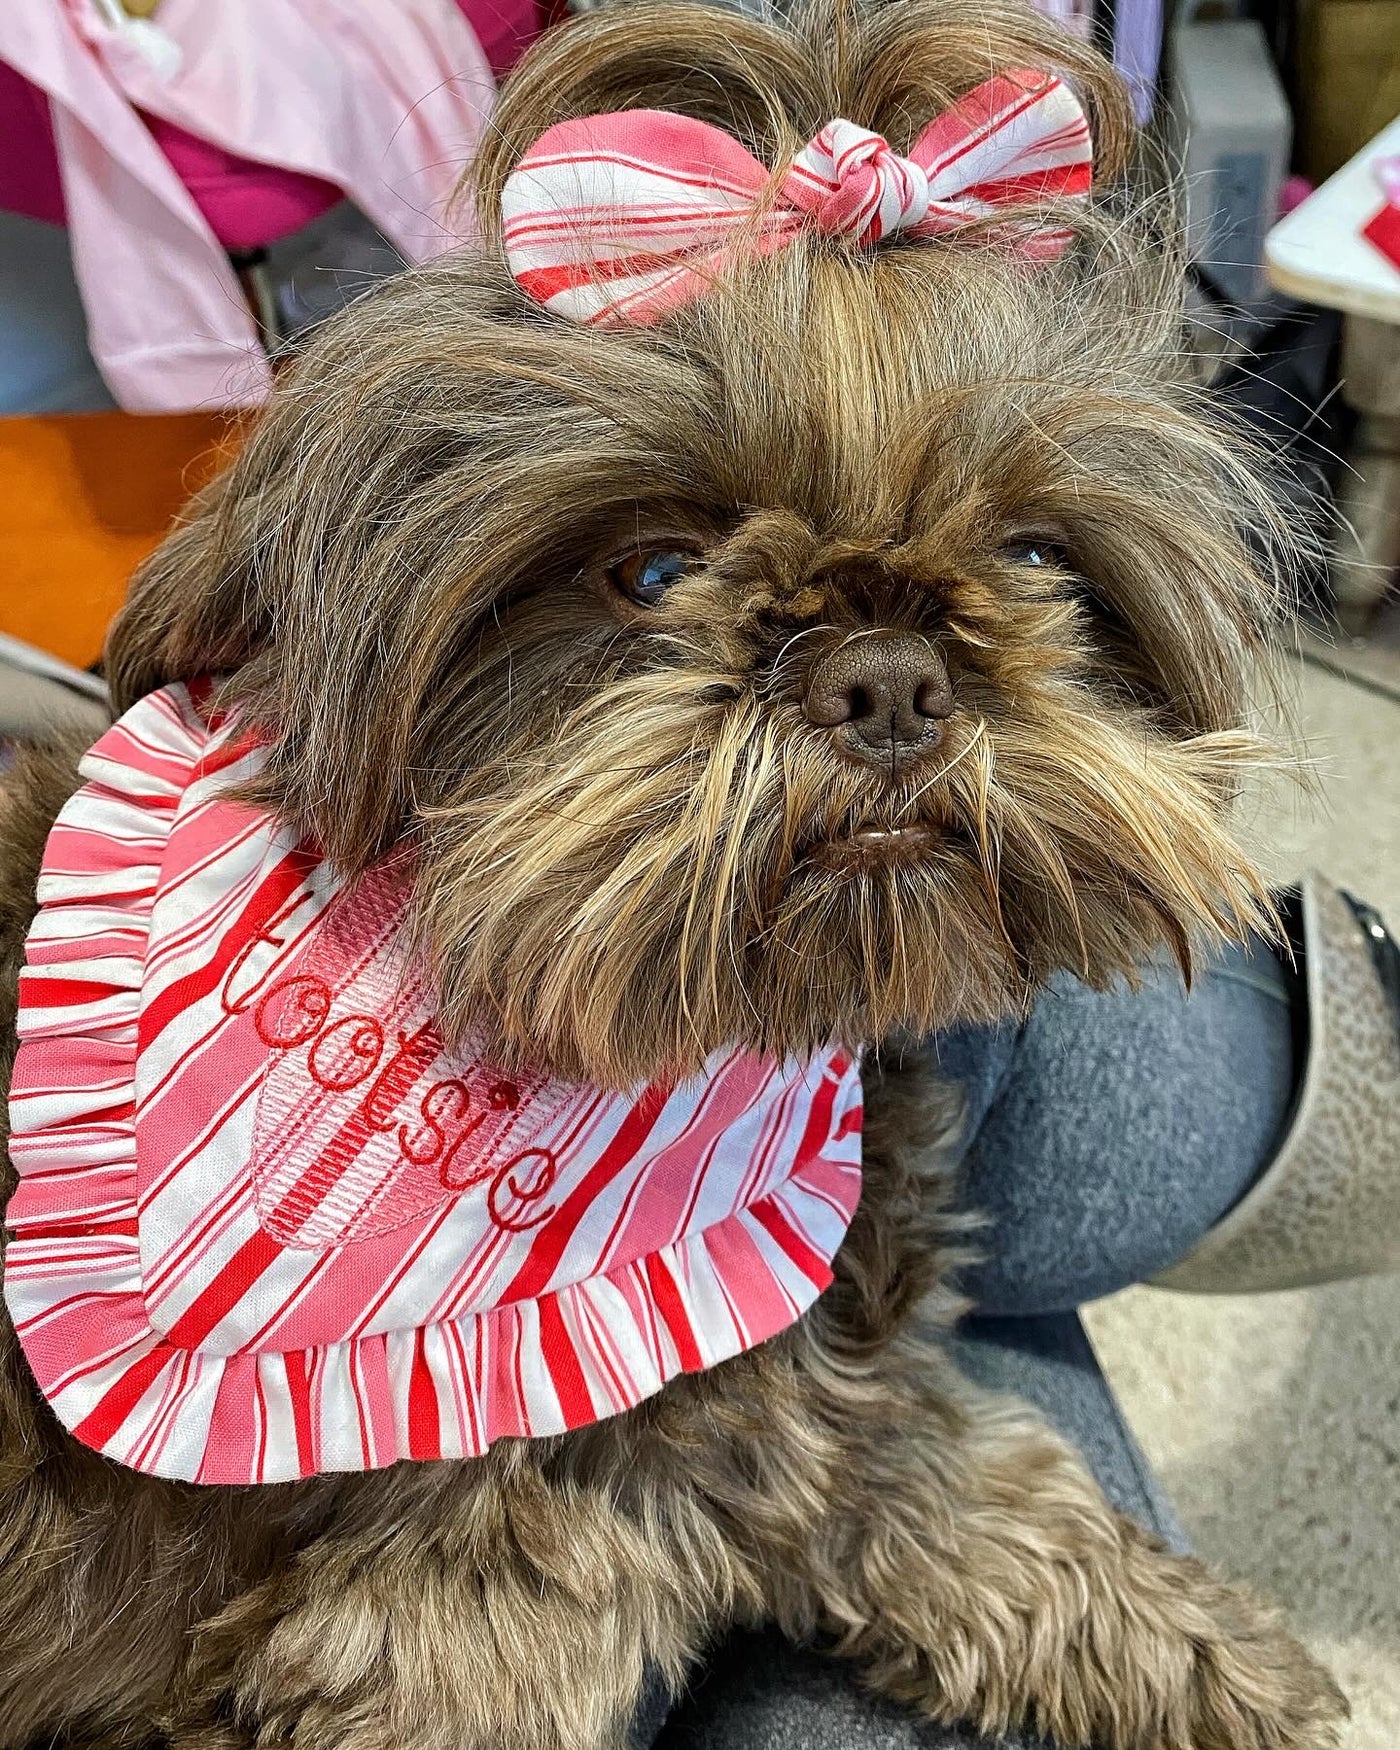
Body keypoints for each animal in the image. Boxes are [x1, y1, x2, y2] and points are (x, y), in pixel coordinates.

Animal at [2, 0, 1344, 1743]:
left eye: (1041, 557)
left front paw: (1205, 1651)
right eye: (649, 572)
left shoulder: (794, 1410)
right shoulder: (456, 1612)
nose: (888, 674)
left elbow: (987, 1502)